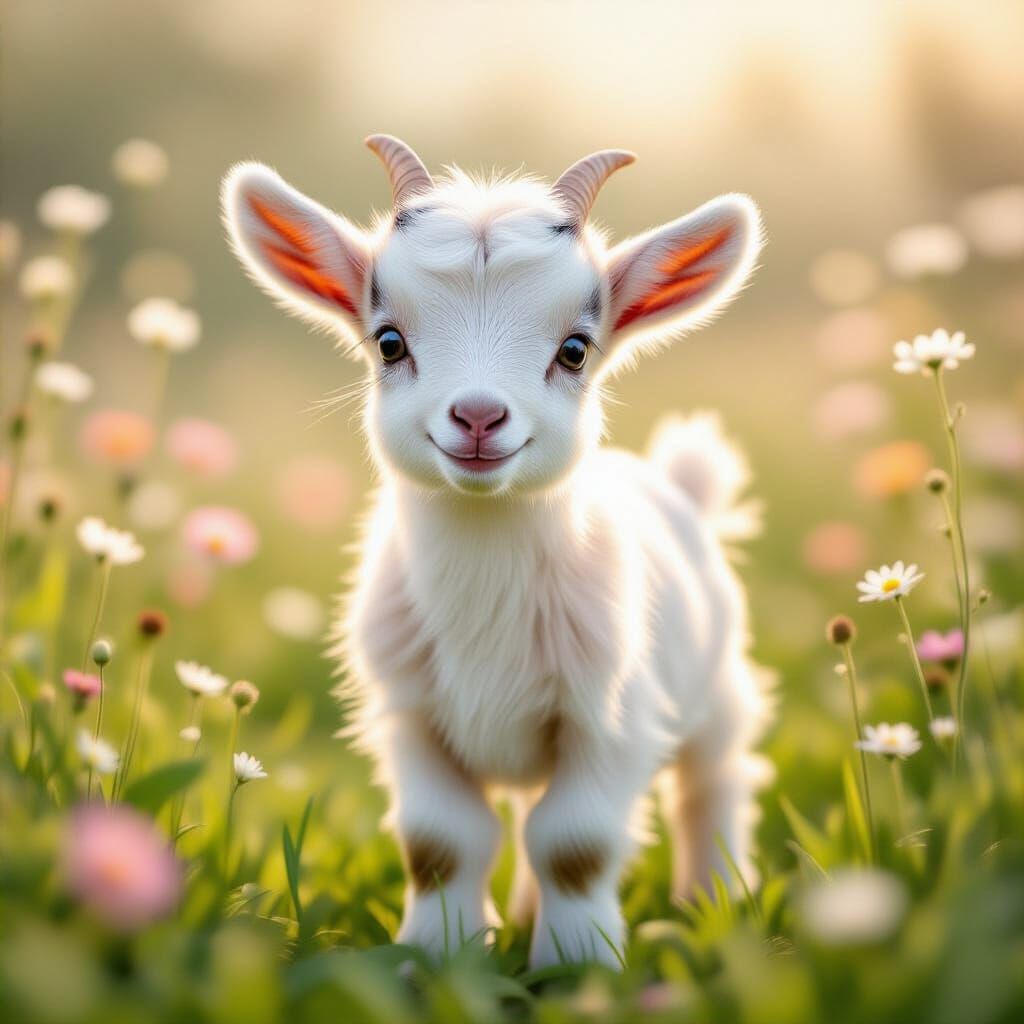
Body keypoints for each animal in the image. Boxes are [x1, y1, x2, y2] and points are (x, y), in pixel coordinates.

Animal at [222, 136, 772, 967]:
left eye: (575, 351)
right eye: (390, 342)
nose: (478, 416)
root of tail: (681, 484)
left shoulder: (611, 719)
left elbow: (574, 844)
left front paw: (578, 965)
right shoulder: (411, 717)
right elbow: (442, 841)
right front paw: (440, 954)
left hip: (717, 692)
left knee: (715, 783)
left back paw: (715, 902)